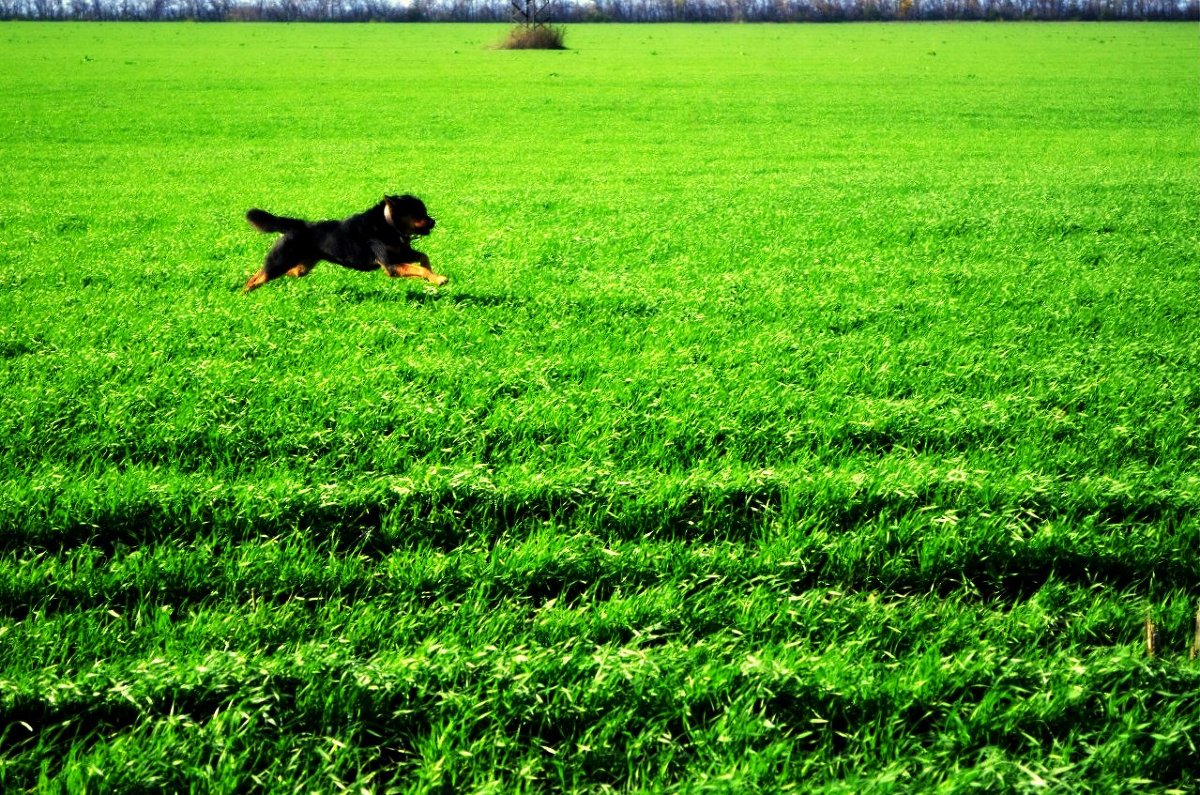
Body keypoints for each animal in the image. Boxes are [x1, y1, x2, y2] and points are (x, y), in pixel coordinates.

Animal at [241, 194, 448, 294]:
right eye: (418, 213)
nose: (433, 222)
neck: (389, 224)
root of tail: (296, 224)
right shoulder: (391, 265)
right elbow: (419, 269)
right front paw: (438, 279)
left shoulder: (401, 253)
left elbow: (423, 258)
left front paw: (432, 276)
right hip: (281, 260)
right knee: (256, 278)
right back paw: (242, 296)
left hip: (301, 266)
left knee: (285, 272)